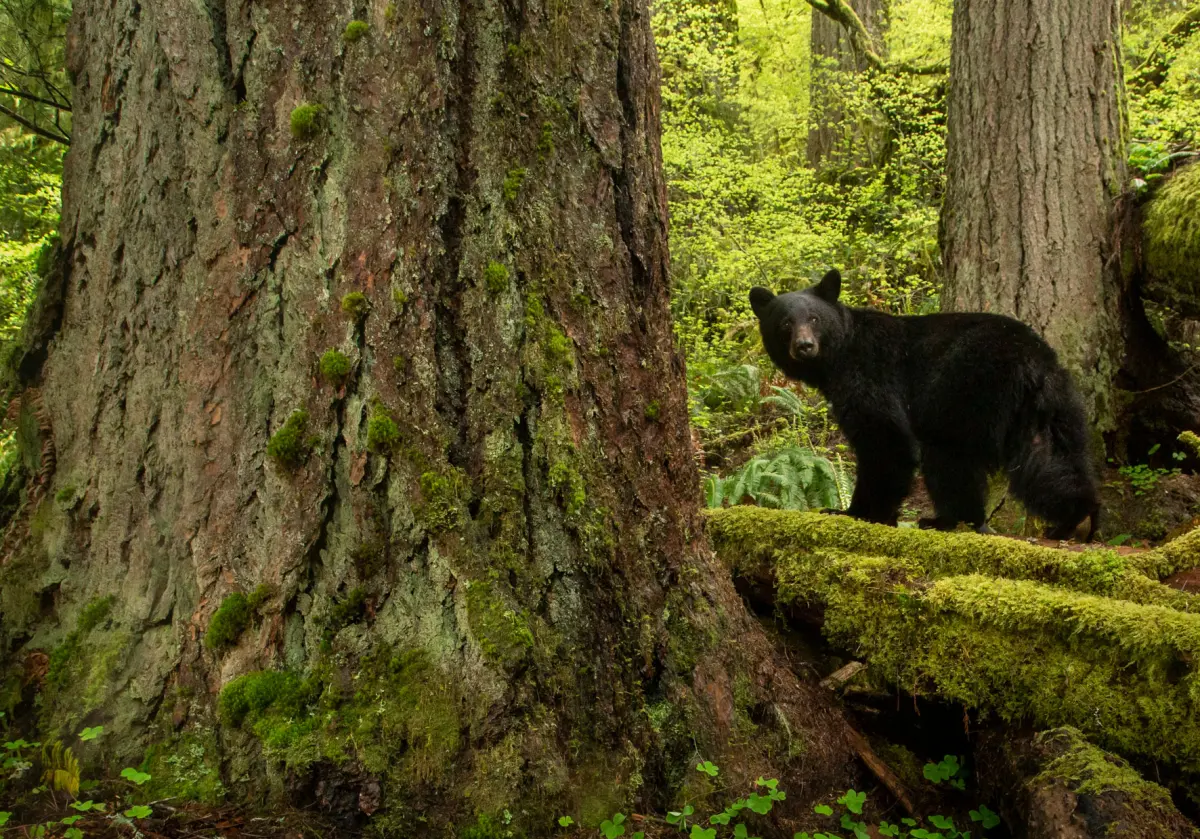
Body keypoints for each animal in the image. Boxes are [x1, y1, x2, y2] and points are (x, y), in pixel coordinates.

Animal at [749, 269, 1100, 541]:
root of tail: (1035, 356)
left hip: (964, 390)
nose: (804, 346)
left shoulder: (869, 375)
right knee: (1050, 458)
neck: (837, 359)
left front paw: (856, 511)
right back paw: (1078, 517)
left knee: (948, 455)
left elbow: (885, 439)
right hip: (1047, 406)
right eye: (785, 323)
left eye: (814, 318)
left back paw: (945, 518)